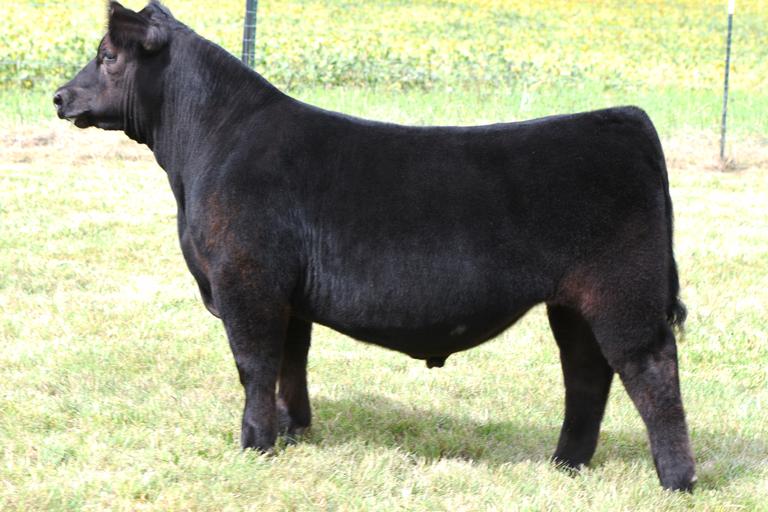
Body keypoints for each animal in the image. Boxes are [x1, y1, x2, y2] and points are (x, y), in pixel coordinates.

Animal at [54, 1, 696, 491]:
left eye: (107, 56)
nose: (60, 97)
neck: (206, 151)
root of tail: (626, 118)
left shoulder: (246, 281)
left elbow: (254, 364)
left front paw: (255, 444)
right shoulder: (287, 295)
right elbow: (291, 361)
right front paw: (293, 430)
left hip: (623, 292)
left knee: (650, 369)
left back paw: (676, 480)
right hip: (573, 303)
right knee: (586, 373)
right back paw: (565, 464)